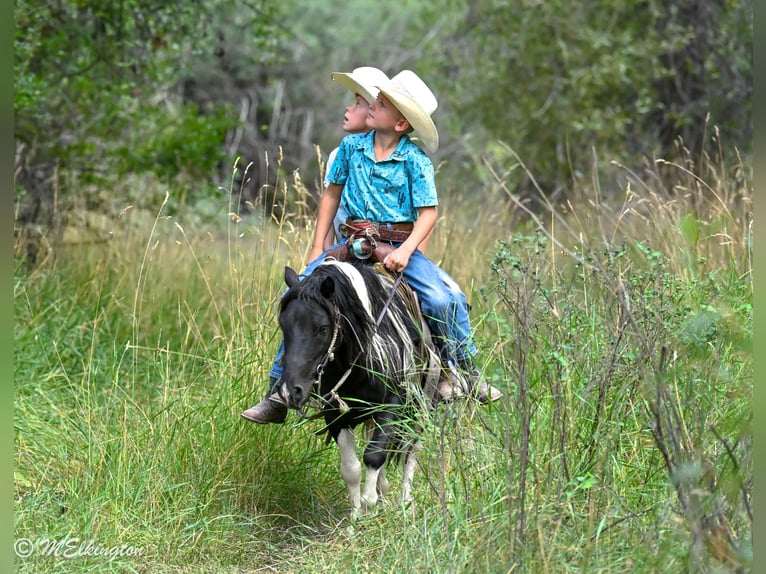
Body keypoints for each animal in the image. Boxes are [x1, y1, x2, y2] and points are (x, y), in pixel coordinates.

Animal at [275, 258, 442, 514]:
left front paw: (369, 502)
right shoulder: (334, 413)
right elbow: (351, 468)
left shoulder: (392, 407)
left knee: (409, 451)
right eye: (283, 325)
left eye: (323, 328)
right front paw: (356, 516)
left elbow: (374, 456)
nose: (289, 392)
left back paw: (405, 503)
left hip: (422, 407)